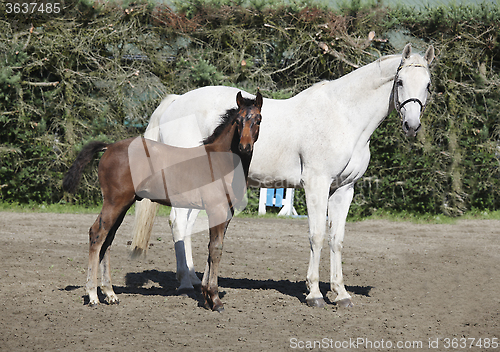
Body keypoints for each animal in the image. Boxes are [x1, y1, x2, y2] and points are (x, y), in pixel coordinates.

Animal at [63, 92, 262, 312]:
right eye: (238, 121)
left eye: (258, 119)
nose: (245, 147)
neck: (221, 161)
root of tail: (110, 146)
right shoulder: (216, 209)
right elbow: (216, 249)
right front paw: (215, 300)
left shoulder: (226, 212)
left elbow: (213, 248)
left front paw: (207, 296)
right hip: (114, 202)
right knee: (97, 234)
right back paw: (93, 295)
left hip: (122, 205)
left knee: (107, 240)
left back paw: (110, 294)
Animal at [132, 44, 434, 308]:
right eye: (400, 82)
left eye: (428, 85)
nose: (412, 126)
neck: (343, 116)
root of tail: (175, 103)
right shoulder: (316, 184)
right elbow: (317, 235)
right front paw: (315, 295)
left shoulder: (345, 189)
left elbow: (337, 239)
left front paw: (341, 294)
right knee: (177, 223)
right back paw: (184, 283)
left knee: (187, 225)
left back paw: (195, 279)